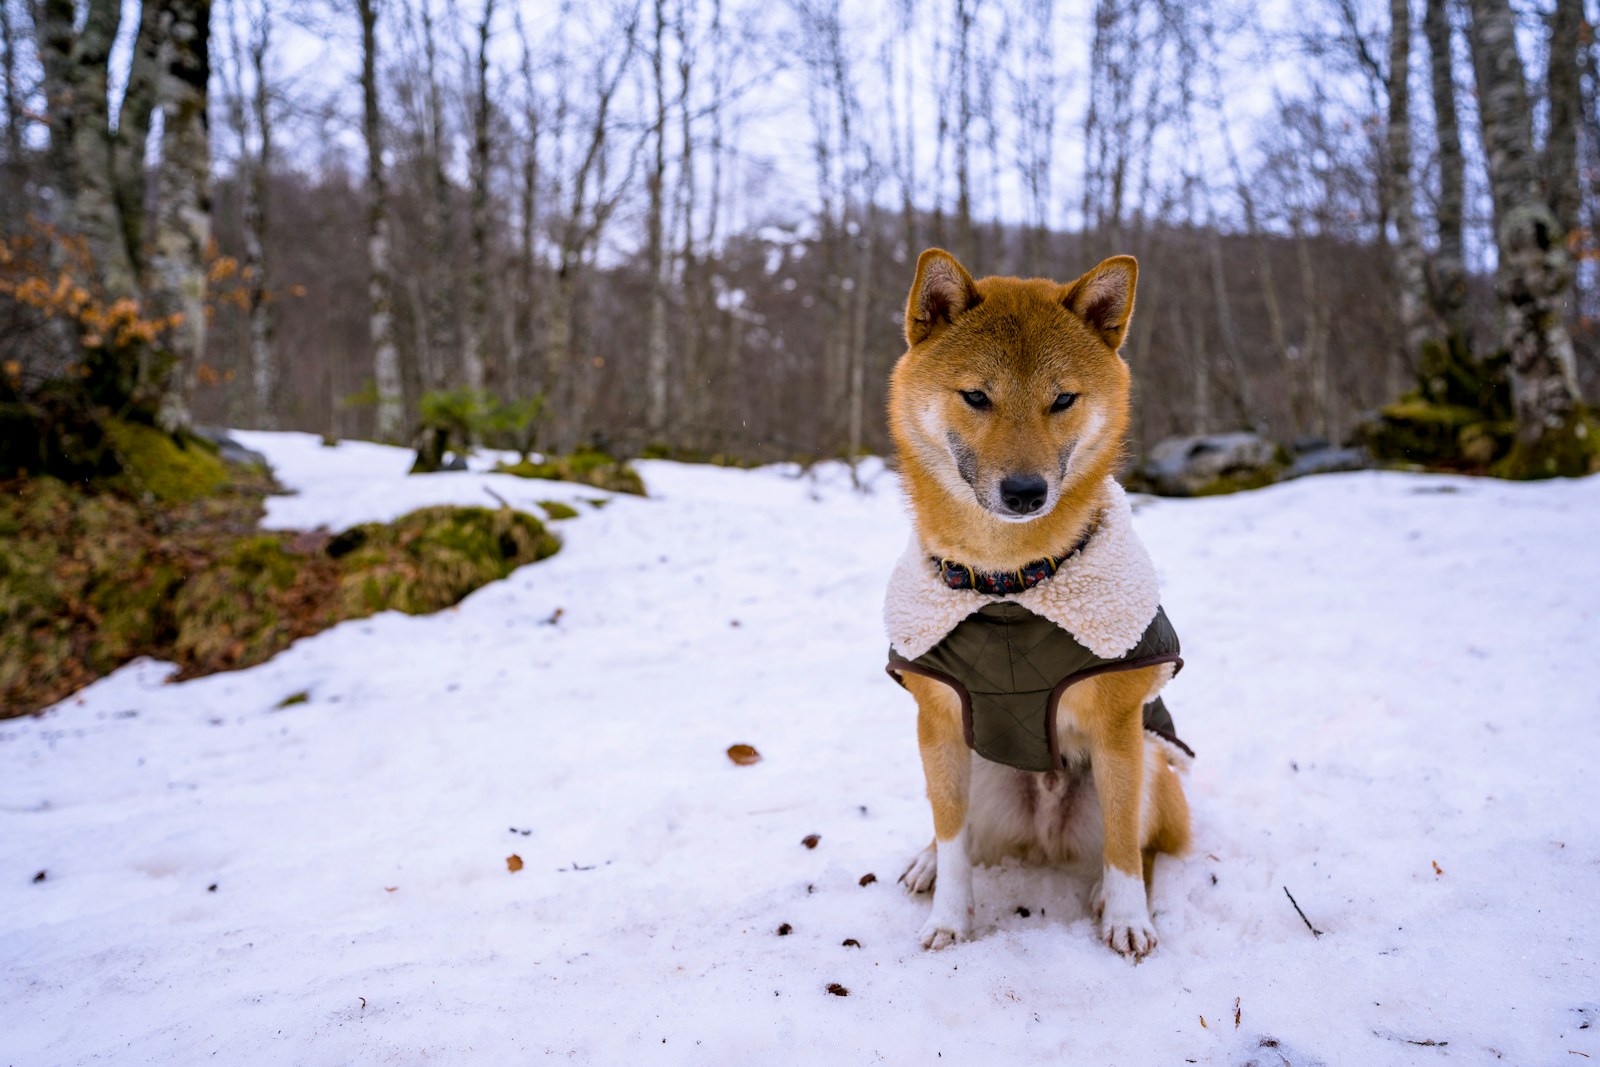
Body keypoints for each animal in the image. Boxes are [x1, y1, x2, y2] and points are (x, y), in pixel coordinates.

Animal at [883, 247, 1196, 959]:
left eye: (1062, 399)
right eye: (977, 396)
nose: (1025, 492)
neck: (1009, 584)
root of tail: (1045, 836)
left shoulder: (1118, 728)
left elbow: (1124, 850)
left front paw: (1128, 918)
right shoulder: (938, 721)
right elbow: (952, 838)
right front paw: (949, 917)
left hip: (1154, 763)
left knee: (1145, 851)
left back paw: (1113, 896)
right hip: (979, 768)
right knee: (959, 834)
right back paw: (927, 861)